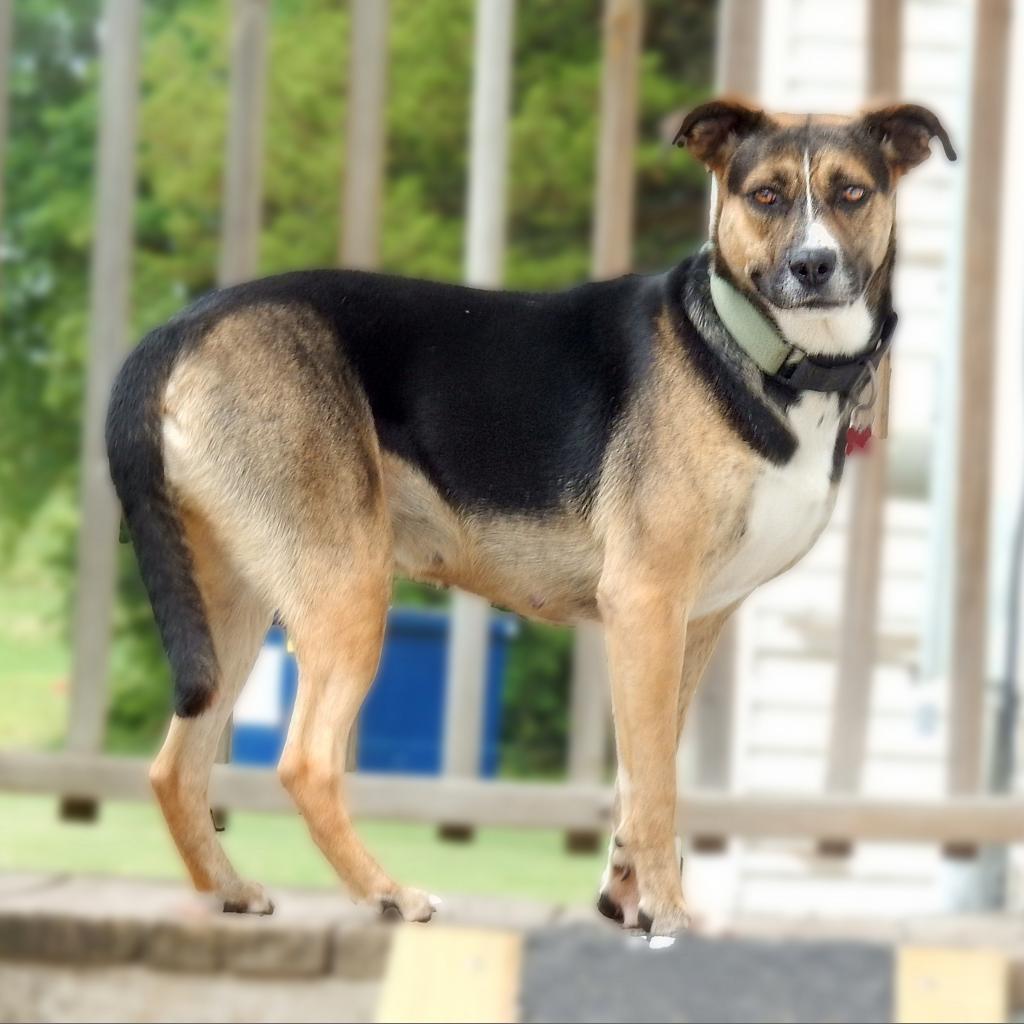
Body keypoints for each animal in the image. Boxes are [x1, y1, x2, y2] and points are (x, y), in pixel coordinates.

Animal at [103, 97, 950, 937]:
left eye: (852, 193)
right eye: (765, 195)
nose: (813, 267)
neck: (761, 354)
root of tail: (181, 329)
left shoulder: (691, 623)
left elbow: (640, 773)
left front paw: (628, 895)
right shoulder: (647, 604)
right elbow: (657, 784)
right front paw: (668, 909)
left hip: (235, 602)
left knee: (175, 766)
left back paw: (228, 889)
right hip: (344, 587)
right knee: (305, 762)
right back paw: (388, 893)